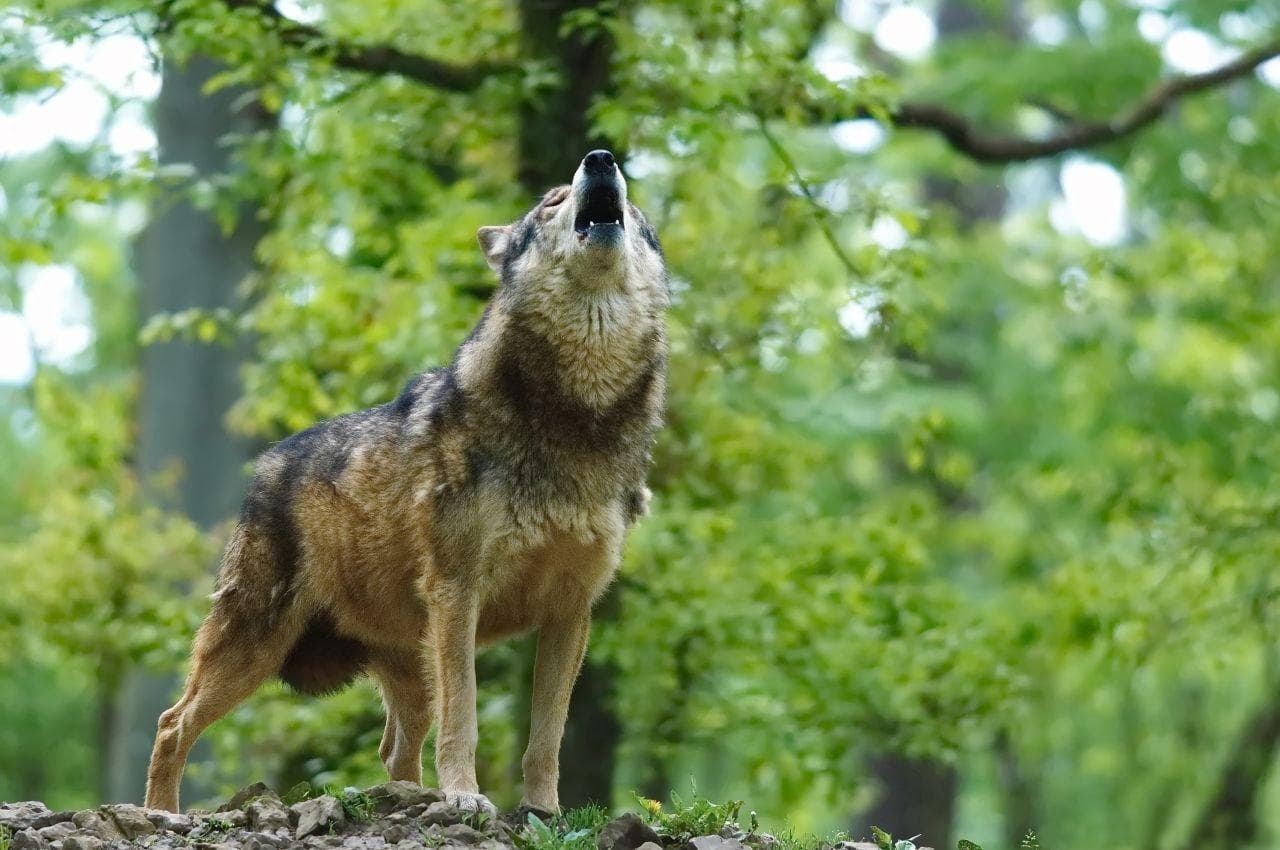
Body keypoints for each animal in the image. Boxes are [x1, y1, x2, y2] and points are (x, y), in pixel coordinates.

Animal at [144, 149, 668, 816]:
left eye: (633, 206)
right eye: (551, 202)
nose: (600, 159)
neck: (577, 415)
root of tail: (266, 463)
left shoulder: (572, 610)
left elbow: (547, 734)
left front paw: (544, 811)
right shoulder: (458, 592)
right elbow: (464, 717)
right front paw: (466, 797)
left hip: (408, 668)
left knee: (393, 749)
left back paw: (408, 797)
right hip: (257, 646)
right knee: (172, 722)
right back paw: (160, 812)